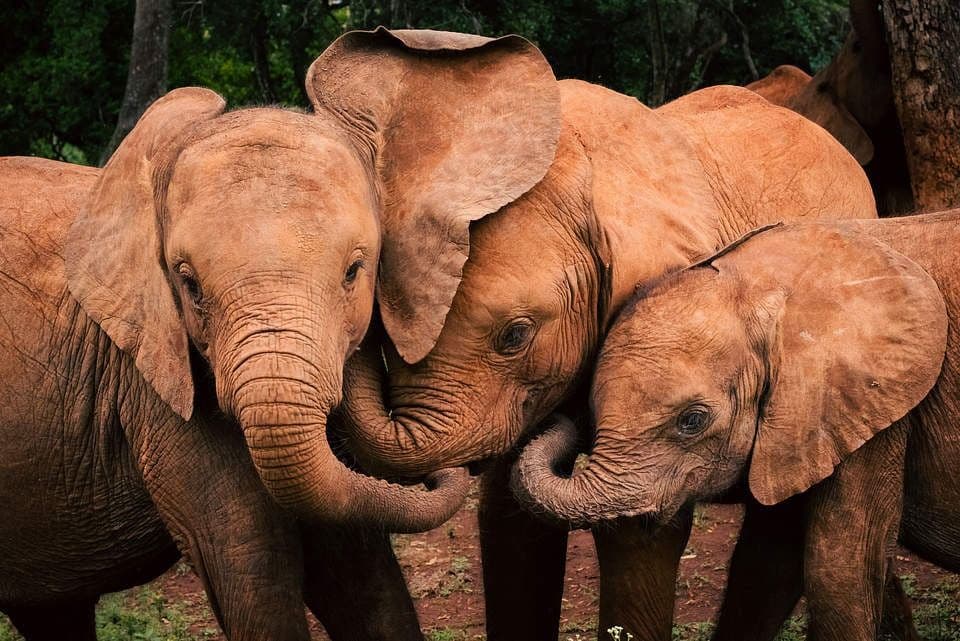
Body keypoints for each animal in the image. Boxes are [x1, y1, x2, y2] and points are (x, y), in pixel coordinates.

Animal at [0, 51, 496, 638]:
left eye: (355, 271)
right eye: (188, 284)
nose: (452, 468)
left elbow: (355, 567)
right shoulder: (154, 382)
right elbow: (250, 557)